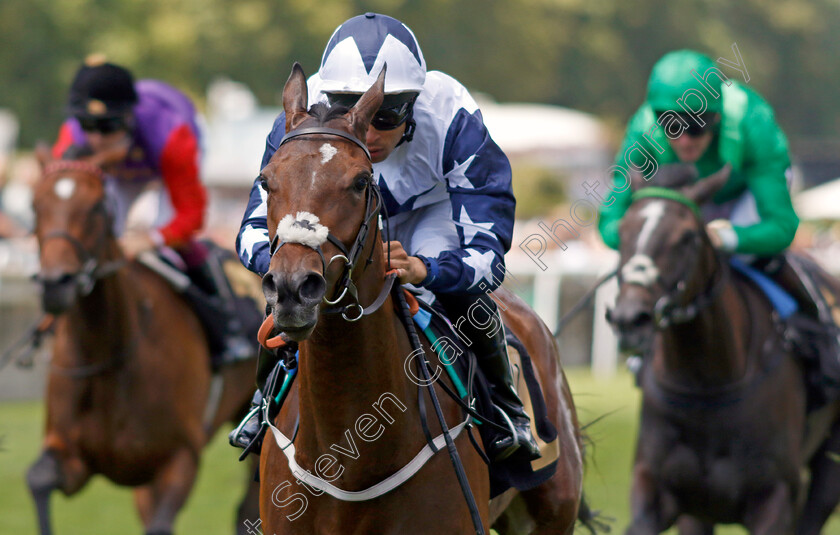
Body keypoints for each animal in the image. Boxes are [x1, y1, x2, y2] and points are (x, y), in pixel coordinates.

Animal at [27, 156, 260, 535]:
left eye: (97, 207)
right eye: (35, 206)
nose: (55, 284)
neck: (111, 355)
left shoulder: (180, 457)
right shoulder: (74, 458)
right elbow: (37, 479)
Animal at [608, 165, 840, 532]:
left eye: (688, 236)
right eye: (622, 231)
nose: (630, 318)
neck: (706, 383)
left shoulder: (775, 497)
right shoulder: (657, 488)